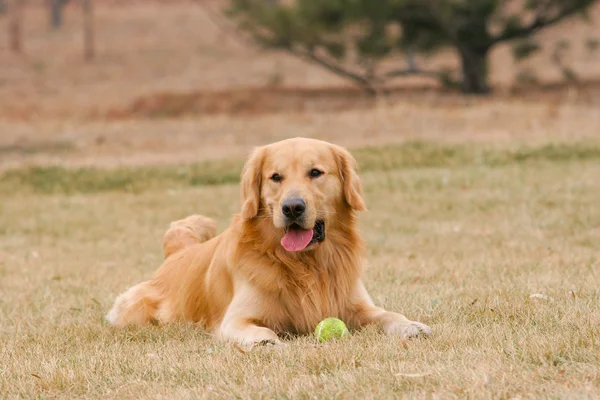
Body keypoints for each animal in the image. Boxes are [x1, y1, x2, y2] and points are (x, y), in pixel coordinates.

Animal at [105, 137, 428, 344]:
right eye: (275, 177)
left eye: (315, 172)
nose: (292, 207)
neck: (305, 264)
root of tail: (175, 254)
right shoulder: (236, 320)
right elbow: (262, 332)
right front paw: (267, 342)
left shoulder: (358, 306)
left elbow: (388, 315)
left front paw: (409, 325)